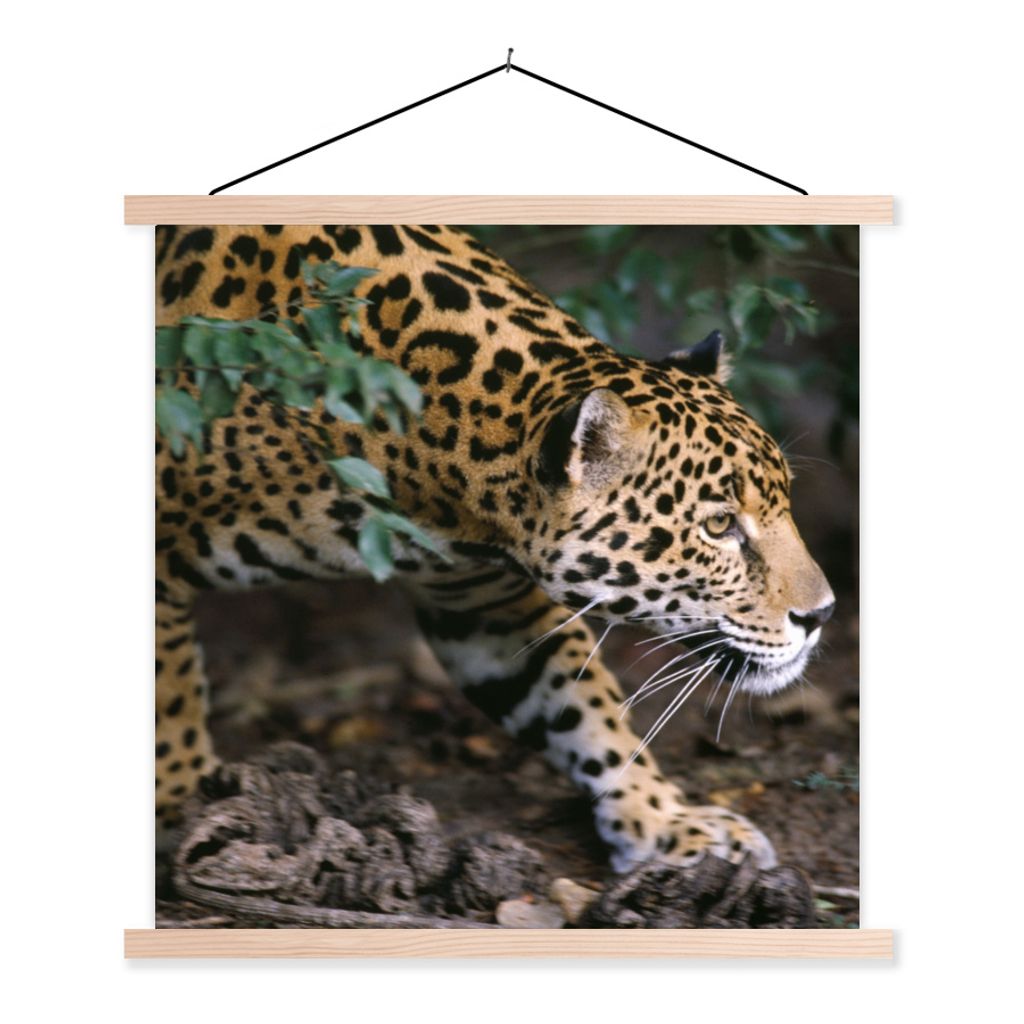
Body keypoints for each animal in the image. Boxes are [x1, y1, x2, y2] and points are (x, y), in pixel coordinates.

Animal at [155, 223, 835, 874]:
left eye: (783, 500)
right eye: (718, 526)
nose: (822, 614)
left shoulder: (484, 602)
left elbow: (579, 702)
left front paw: (665, 819)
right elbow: (172, 705)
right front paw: (186, 810)